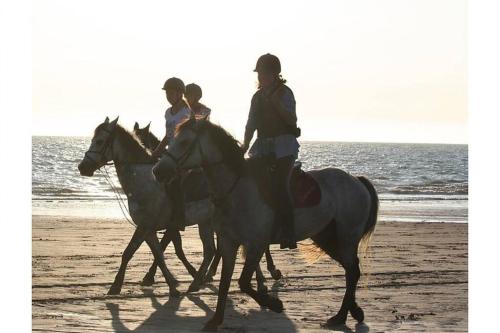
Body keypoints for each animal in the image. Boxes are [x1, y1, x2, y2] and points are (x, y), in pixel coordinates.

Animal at [152, 118, 378, 330]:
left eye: (184, 142)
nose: (158, 170)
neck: (236, 189)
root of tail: (356, 180)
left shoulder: (256, 244)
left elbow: (243, 282)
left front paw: (274, 304)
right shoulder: (228, 242)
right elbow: (225, 282)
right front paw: (215, 320)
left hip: (347, 237)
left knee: (352, 271)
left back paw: (341, 316)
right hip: (327, 238)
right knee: (351, 269)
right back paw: (353, 312)